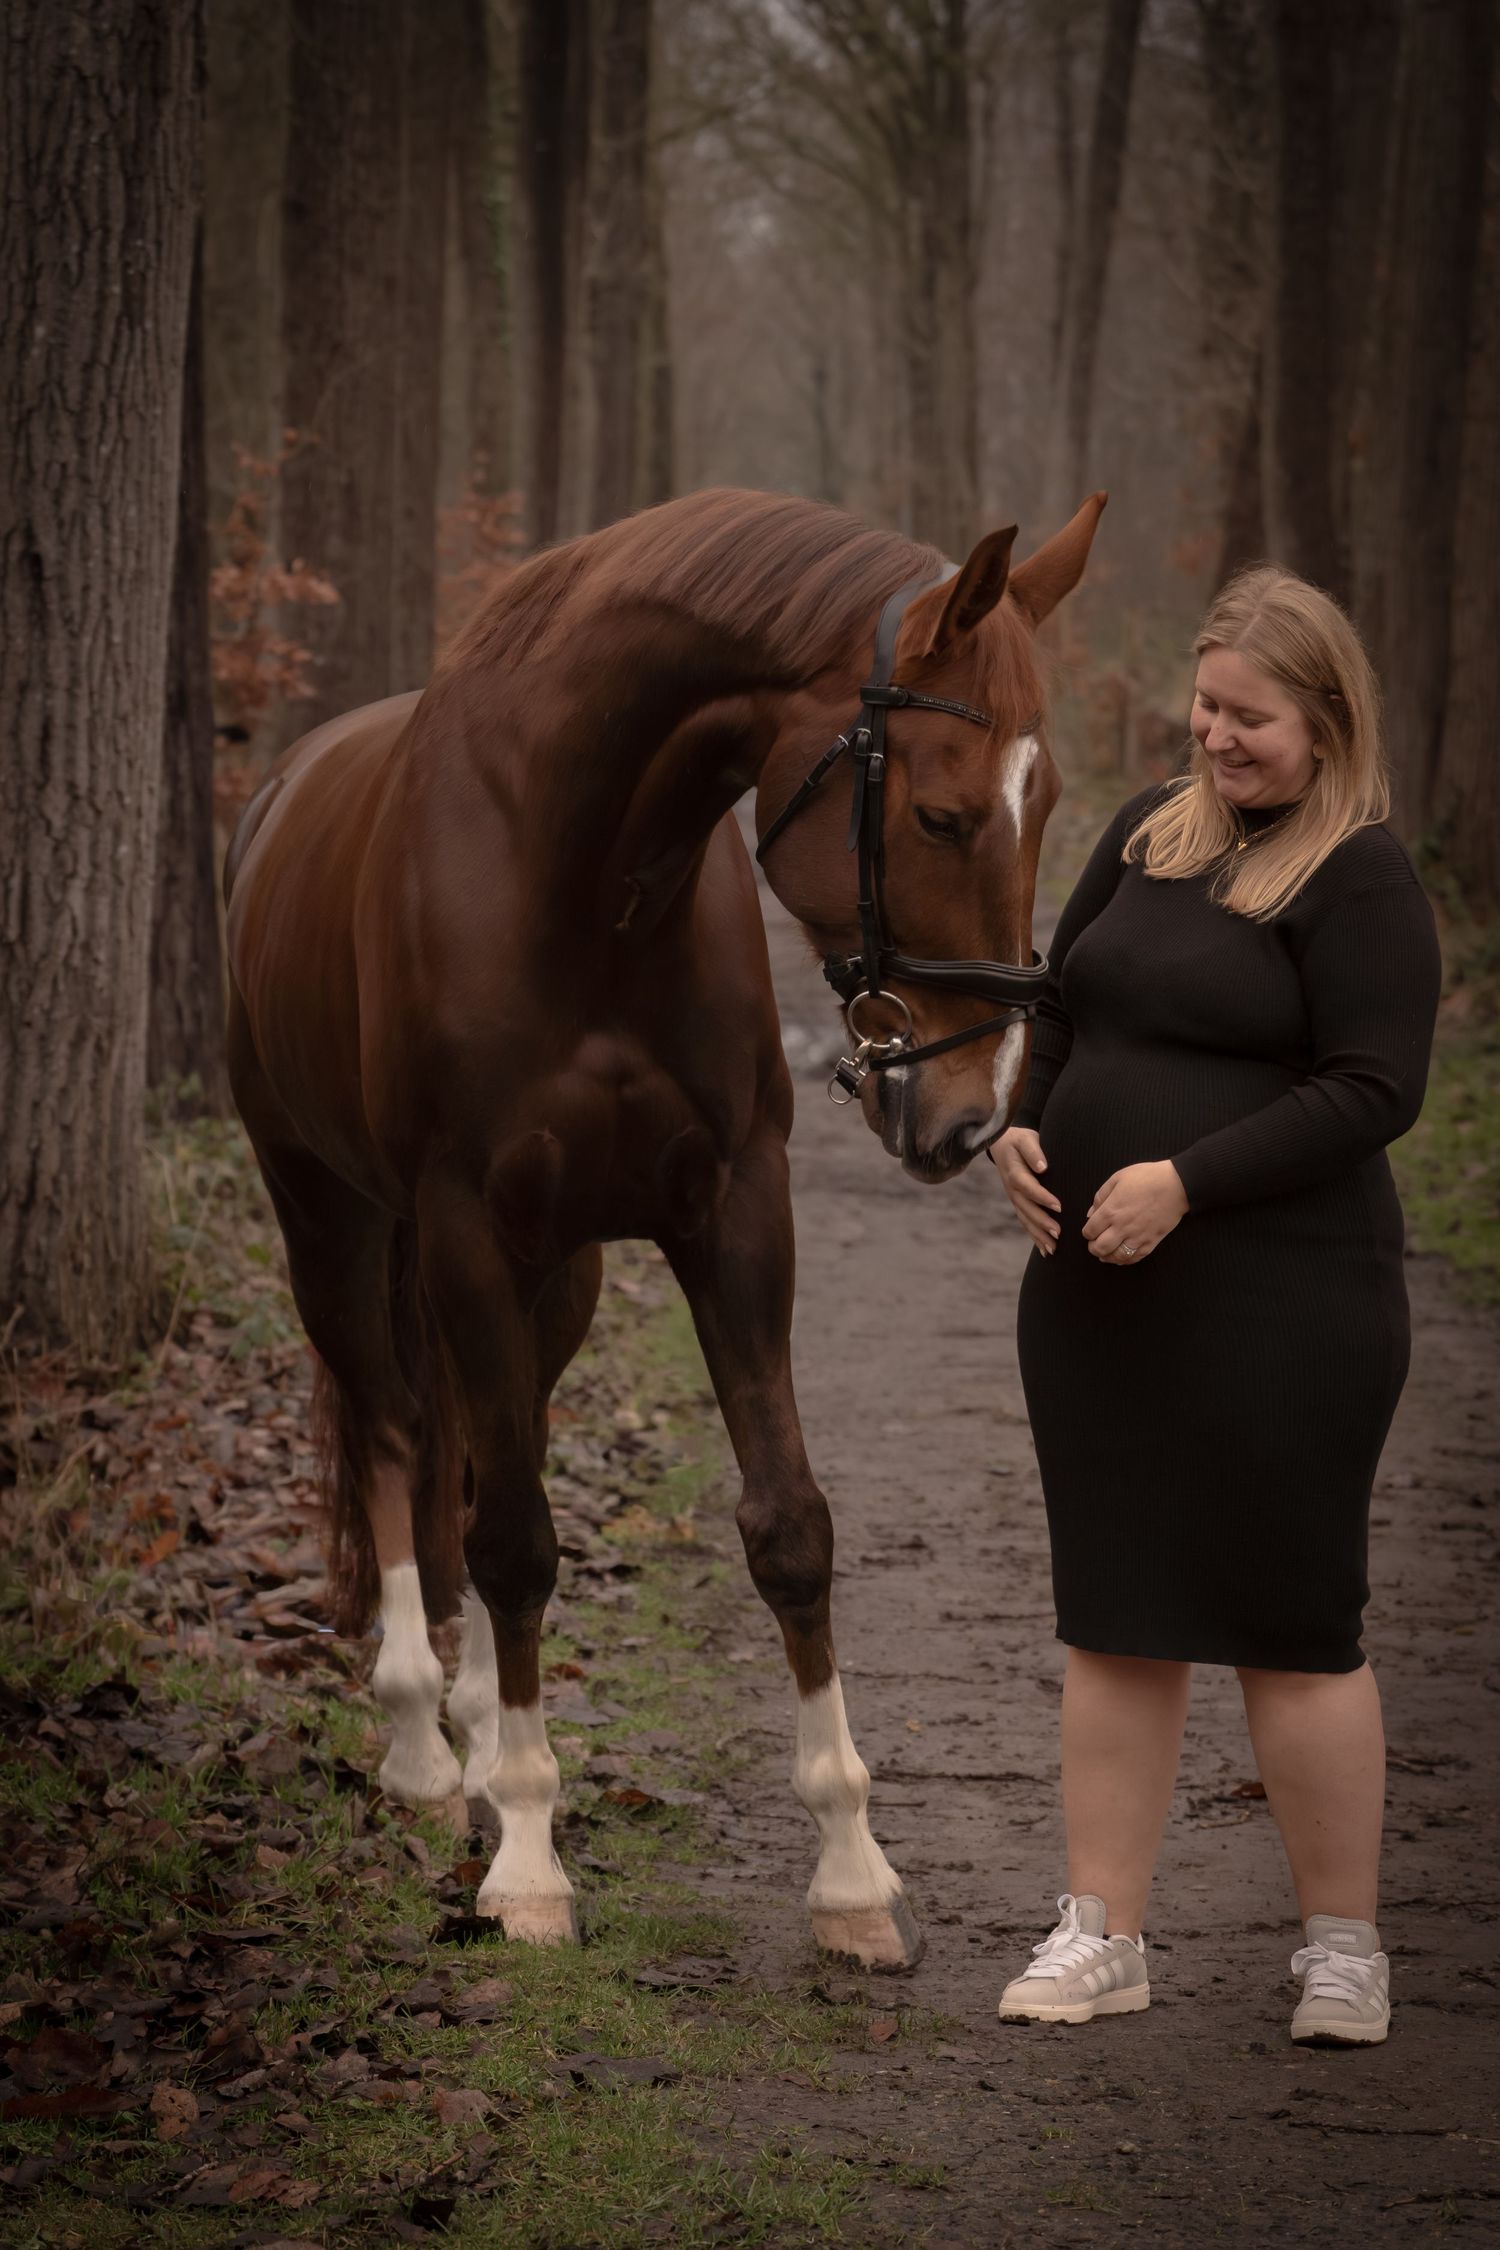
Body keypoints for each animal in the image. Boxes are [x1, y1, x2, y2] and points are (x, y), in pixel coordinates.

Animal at [223, 486, 1104, 1967]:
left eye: (1044, 807)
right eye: (938, 815)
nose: (970, 1112)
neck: (583, 876)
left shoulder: (736, 1210)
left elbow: (787, 1524)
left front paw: (853, 1875)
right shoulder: (463, 1226)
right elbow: (517, 1540)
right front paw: (528, 1861)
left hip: (558, 1278)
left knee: (479, 1450)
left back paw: (473, 1736)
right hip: (333, 1229)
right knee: (402, 1440)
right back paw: (422, 1745)